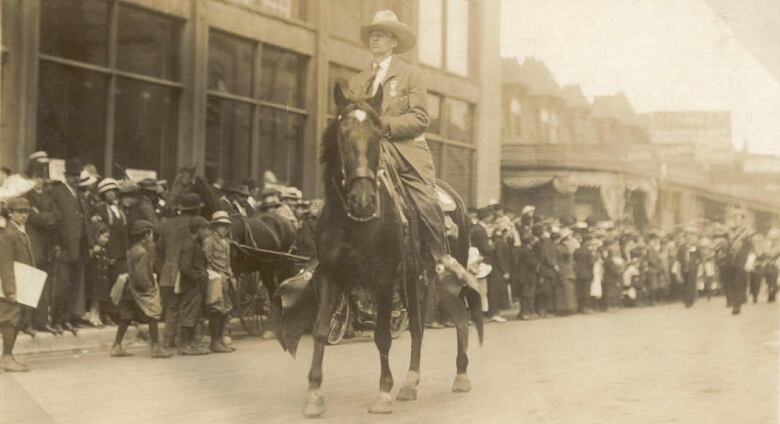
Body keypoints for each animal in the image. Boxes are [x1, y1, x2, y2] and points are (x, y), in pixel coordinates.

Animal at [298, 84, 482, 416]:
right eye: (342, 134)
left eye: (378, 136)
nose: (363, 199)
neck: (353, 222)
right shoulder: (332, 276)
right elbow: (320, 329)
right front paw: (314, 394)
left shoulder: (383, 280)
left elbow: (382, 335)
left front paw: (383, 392)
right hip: (415, 280)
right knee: (419, 328)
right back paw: (410, 383)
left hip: (446, 276)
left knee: (461, 318)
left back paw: (461, 375)